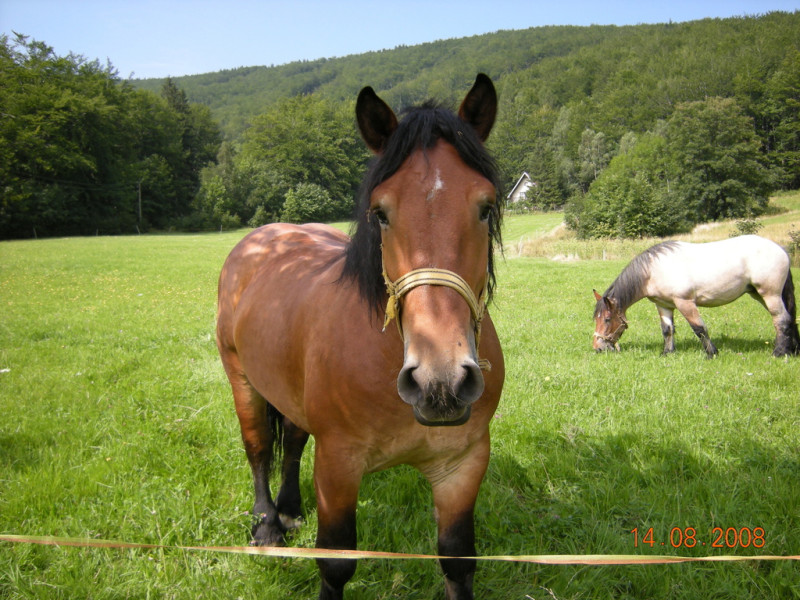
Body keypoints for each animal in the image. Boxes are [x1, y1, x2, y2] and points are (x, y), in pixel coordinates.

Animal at [217, 76, 506, 600]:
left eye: (485, 205)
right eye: (381, 212)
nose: (440, 381)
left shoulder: (462, 464)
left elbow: (457, 561)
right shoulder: (338, 468)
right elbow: (335, 564)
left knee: (292, 441)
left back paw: (291, 509)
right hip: (241, 380)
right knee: (259, 448)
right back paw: (267, 523)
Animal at [592, 234, 800, 356]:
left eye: (608, 319)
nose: (597, 347)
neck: (652, 271)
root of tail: (781, 249)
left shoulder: (684, 302)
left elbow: (699, 328)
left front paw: (712, 353)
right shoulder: (664, 305)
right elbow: (667, 330)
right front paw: (667, 353)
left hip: (770, 295)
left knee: (781, 320)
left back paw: (779, 353)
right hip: (761, 295)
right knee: (790, 318)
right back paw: (793, 350)